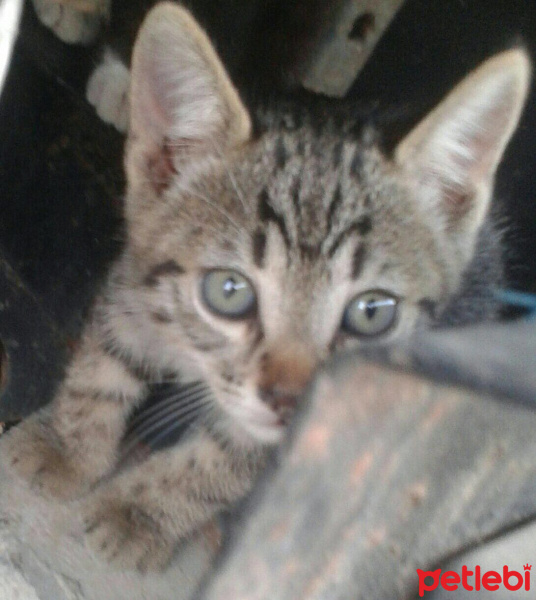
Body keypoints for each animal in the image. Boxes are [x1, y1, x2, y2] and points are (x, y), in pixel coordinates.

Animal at [2, 0, 528, 572]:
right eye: (229, 291)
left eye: (372, 312)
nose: (292, 401)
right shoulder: (137, 279)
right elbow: (106, 361)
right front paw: (66, 446)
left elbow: (218, 463)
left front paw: (141, 513)